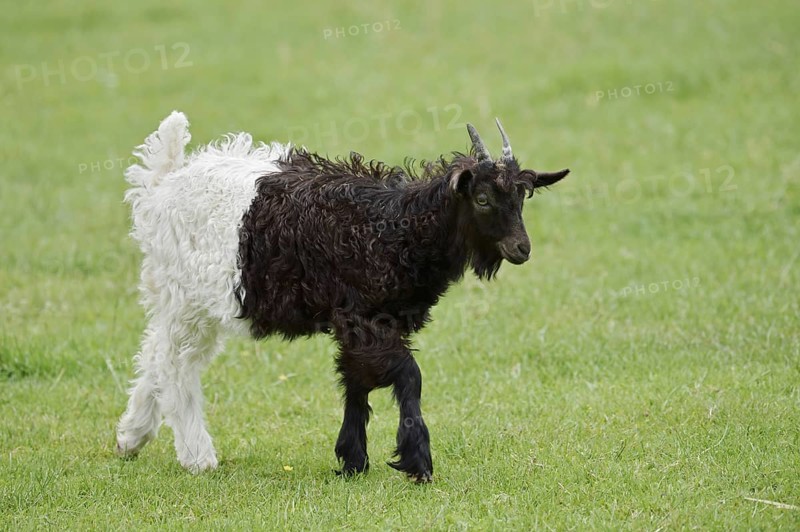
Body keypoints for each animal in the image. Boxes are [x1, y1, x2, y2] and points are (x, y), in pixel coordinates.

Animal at [116, 111, 569, 481]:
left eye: (522, 198)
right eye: (483, 198)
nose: (521, 249)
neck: (396, 227)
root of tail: (162, 184)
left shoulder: (366, 321)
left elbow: (355, 381)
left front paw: (353, 460)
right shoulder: (365, 319)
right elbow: (408, 376)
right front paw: (417, 462)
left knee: (154, 352)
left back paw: (130, 438)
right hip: (188, 297)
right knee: (174, 363)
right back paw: (197, 457)